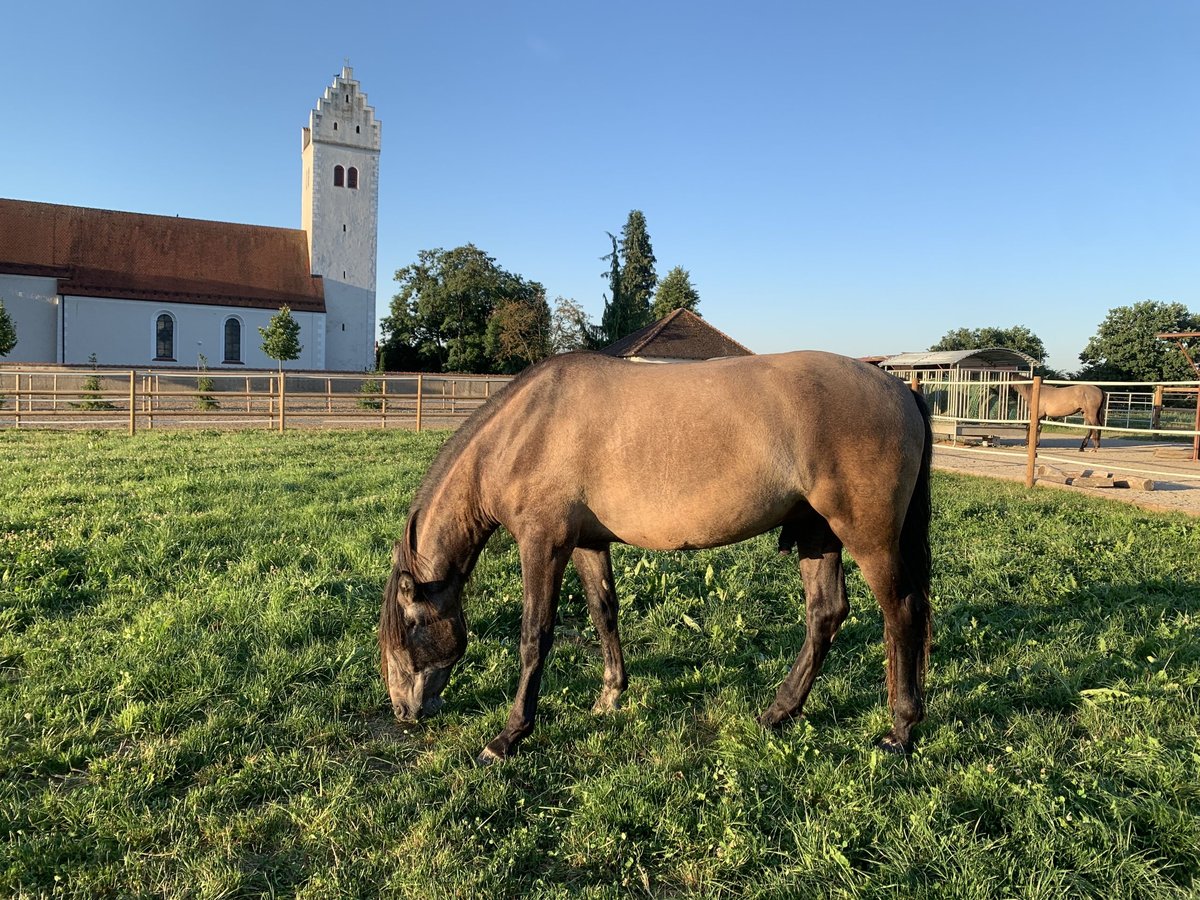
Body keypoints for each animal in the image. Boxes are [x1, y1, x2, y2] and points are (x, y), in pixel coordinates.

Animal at [379, 348, 931, 763]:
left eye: (409, 628)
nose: (404, 711)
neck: (526, 430)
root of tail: (900, 387)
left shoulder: (543, 544)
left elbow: (534, 637)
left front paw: (509, 736)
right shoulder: (587, 542)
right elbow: (604, 612)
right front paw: (610, 695)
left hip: (867, 536)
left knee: (901, 612)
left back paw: (901, 731)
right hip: (818, 533)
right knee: (826, 614)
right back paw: (779, 712)